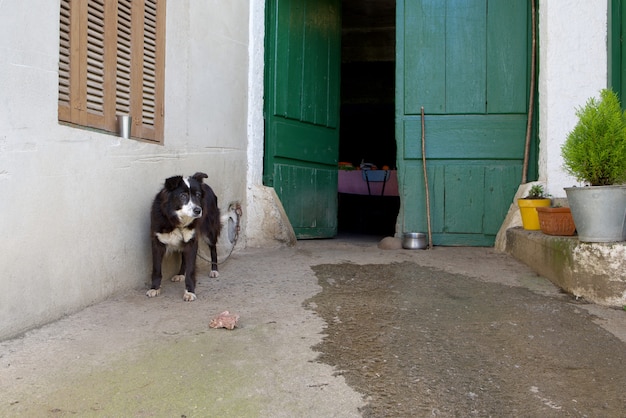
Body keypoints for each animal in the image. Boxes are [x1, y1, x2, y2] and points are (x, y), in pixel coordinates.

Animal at [147, 171, 221, 302]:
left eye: (198, 195)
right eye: (182, 195)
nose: (198, 210)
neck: (177, 220)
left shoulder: (192, 241)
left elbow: (191, 270)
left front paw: (189, 292)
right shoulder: (157, 241)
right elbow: (156, 268)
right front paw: (154, 288)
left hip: (210, 230)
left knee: (213, 249)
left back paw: (214, 270)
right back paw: (180, 274)